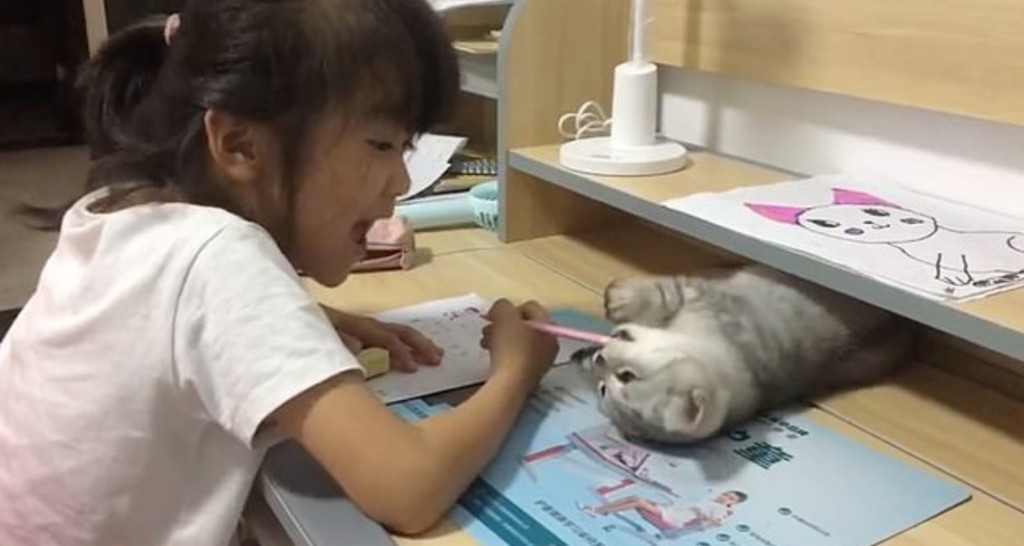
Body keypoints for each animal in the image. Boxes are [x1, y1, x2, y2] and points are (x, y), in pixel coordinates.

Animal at [571, 264, 913, 445]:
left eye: (626, 377)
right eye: (602, 389)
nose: (598, 358)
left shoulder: (705, 297)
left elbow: (663, 293)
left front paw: (621, 297)